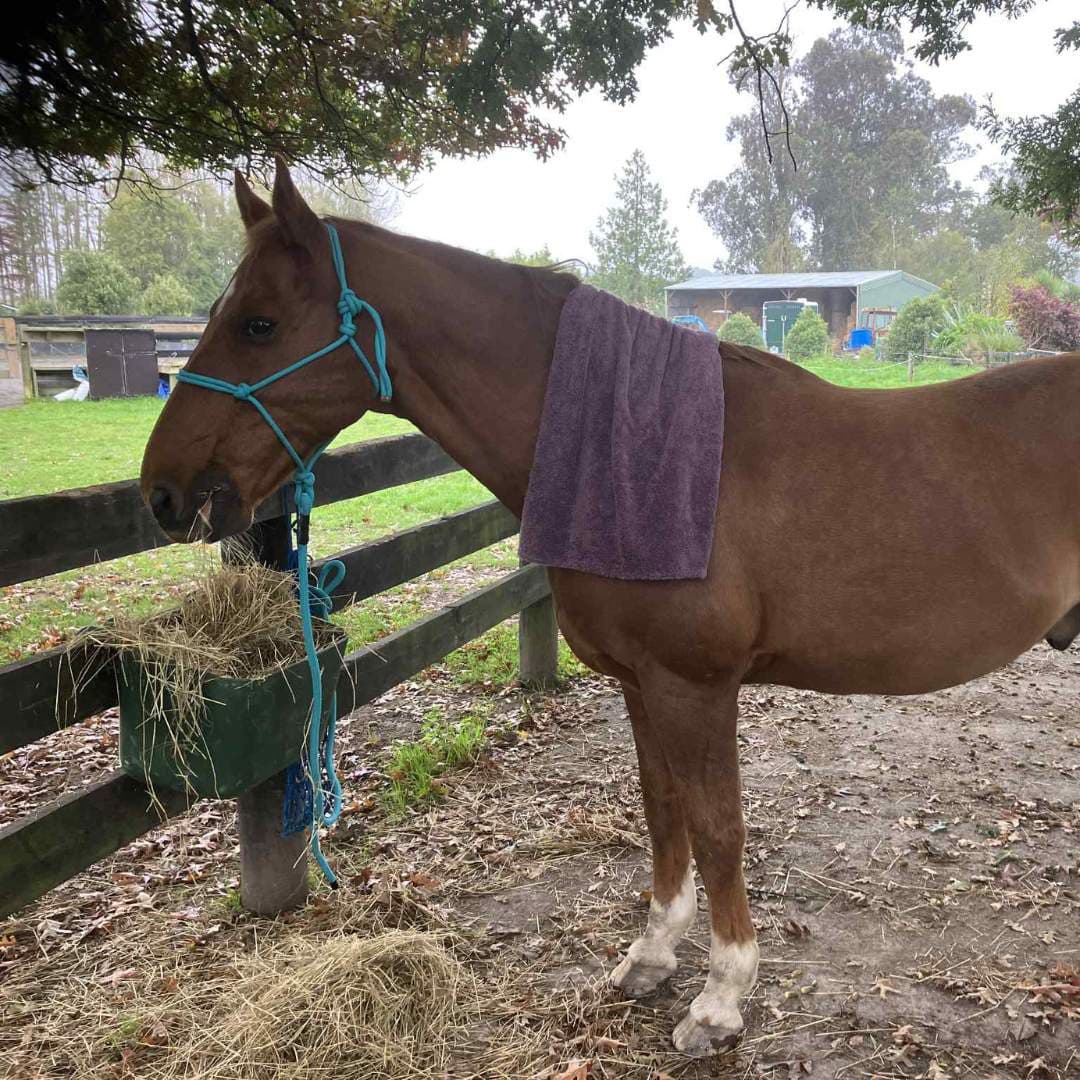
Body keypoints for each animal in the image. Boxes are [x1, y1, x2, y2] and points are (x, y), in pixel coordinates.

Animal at [140, 160, 1080, 1057]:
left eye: (258, 324)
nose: (162, 492)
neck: (637, 453)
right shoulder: (641, 683)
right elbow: (663, 816)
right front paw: (652, 957)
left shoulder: (695, 687)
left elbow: (718, 828)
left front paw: (720, 1001)